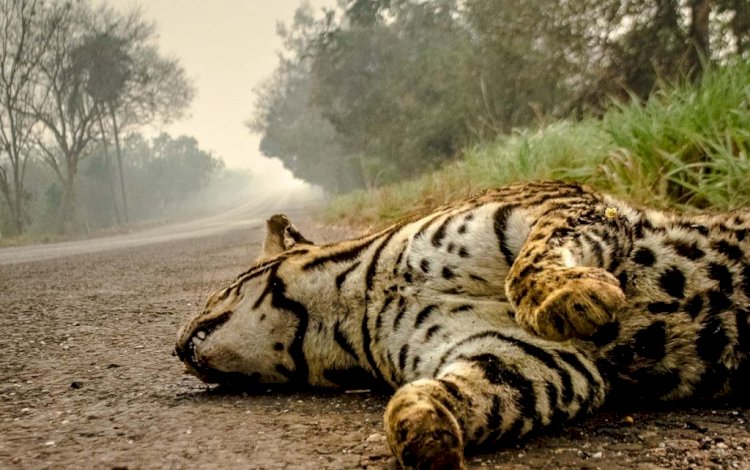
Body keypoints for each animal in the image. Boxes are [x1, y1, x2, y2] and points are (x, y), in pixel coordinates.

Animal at [173, 181, 748, 470]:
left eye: (217, 291)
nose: (175, 348)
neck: (348, 311)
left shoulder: (564, 200)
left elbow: (530, 264)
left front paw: (571, 297)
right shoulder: (531, 354)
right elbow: (462, 388)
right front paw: (421, 431)